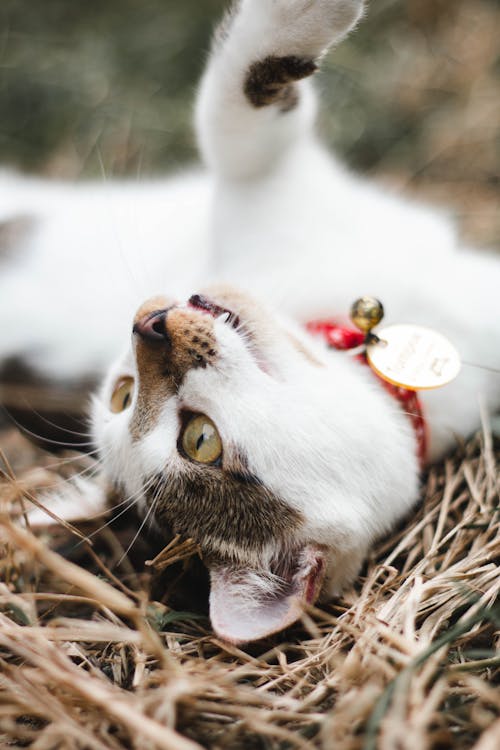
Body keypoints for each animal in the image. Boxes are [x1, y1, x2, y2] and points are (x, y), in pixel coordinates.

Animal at [0, 1, 500, 648]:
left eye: (120, 394)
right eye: (200, 441)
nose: (149, 324)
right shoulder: (257, 171)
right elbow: (235, 112)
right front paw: (300, 16)